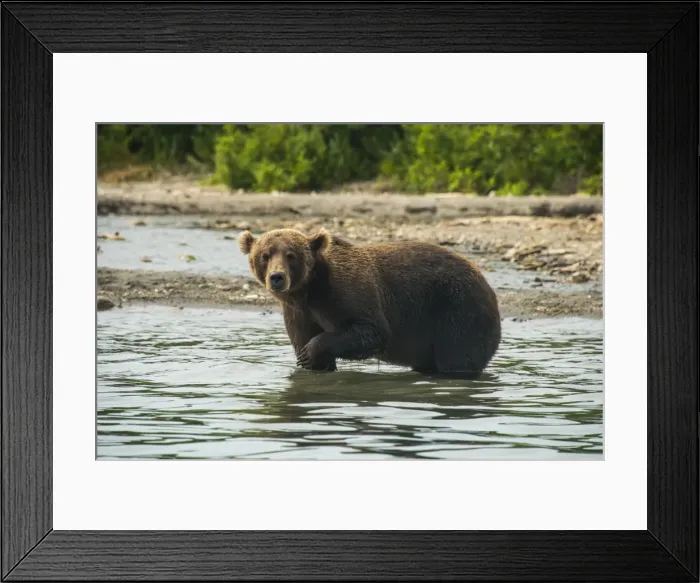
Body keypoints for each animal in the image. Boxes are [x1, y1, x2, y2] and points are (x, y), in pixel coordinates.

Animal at [239, 228, 501, 379]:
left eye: (291, 255)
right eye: (265, 255)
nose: (277, 277)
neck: (310, 290)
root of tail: (488, 286)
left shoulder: (346, 292)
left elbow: (372, 331)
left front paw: (310, 351)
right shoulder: (299, 312)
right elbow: (306, 342)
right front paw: (312, 360)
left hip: (458, 309)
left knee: (457, 356)